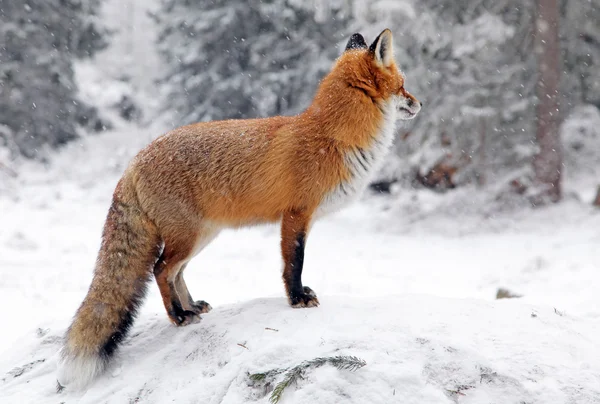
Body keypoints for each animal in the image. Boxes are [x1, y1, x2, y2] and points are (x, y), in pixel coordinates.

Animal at [57, 28, 422, 388]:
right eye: (403, 84)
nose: (420, 103)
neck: (332, 138)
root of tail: (133, 162)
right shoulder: (296, 214)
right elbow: (294, 263)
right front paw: (297, 299)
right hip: (187, 237)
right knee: (159, 270)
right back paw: (178, 316)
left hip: (199, 237)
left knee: (176, 272)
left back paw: (192, 307)